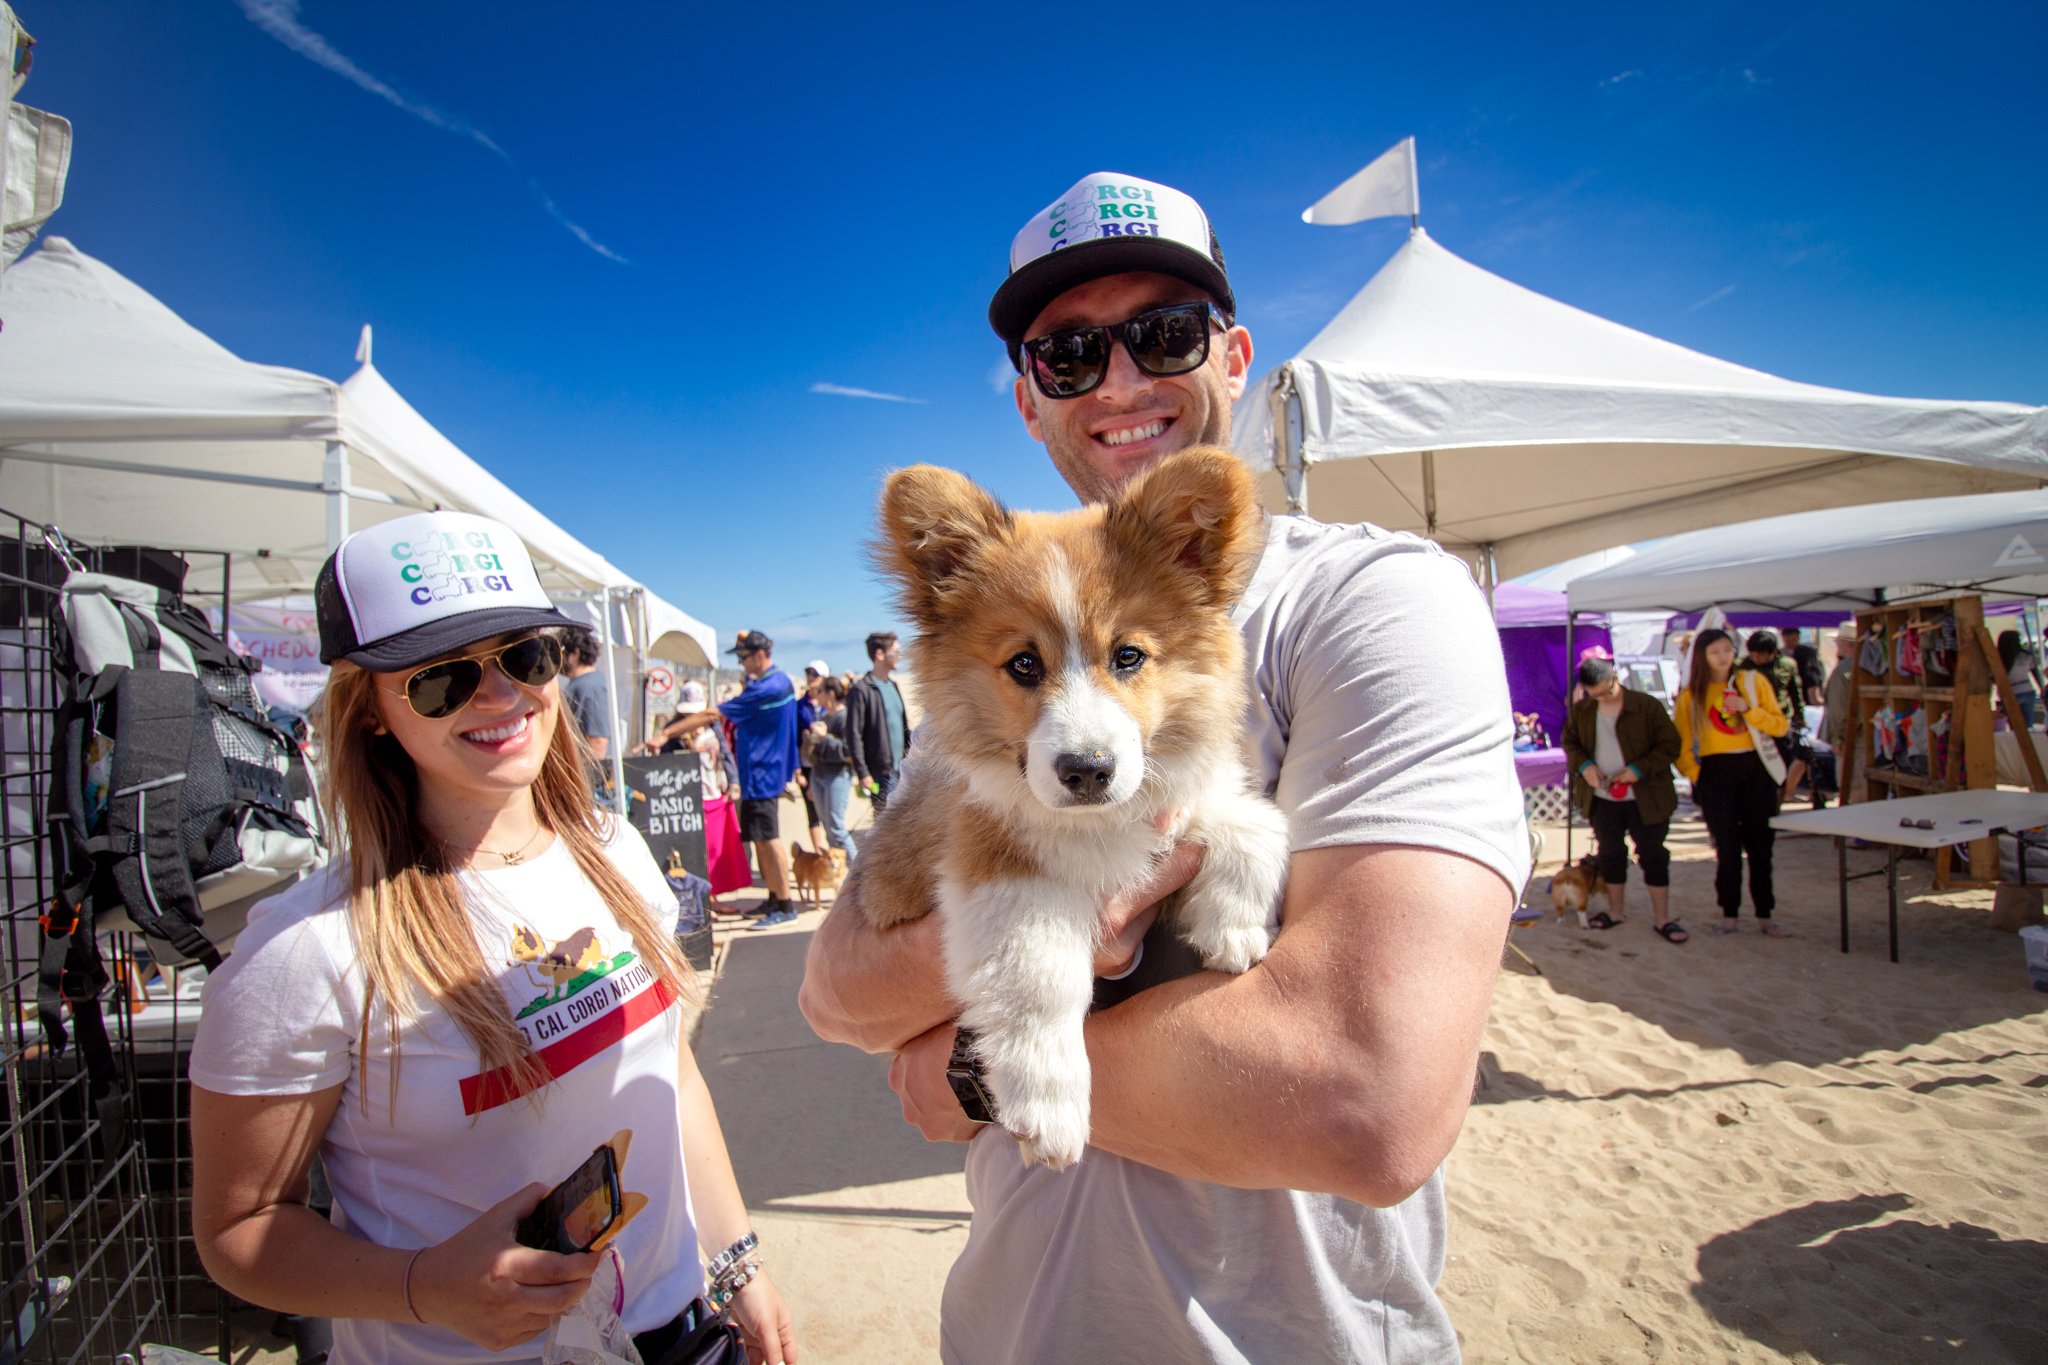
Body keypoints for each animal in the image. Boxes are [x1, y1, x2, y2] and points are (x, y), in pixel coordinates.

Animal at [856, 450, 1286, 1178]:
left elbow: (1258, 825)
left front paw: (1231, 926)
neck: (1098, 823)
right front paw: (1048, 1107)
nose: (1087, 770)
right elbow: (1038, 978)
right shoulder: (998, 869)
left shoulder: (1181, 799)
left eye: (1129, 655)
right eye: (1023, 663)